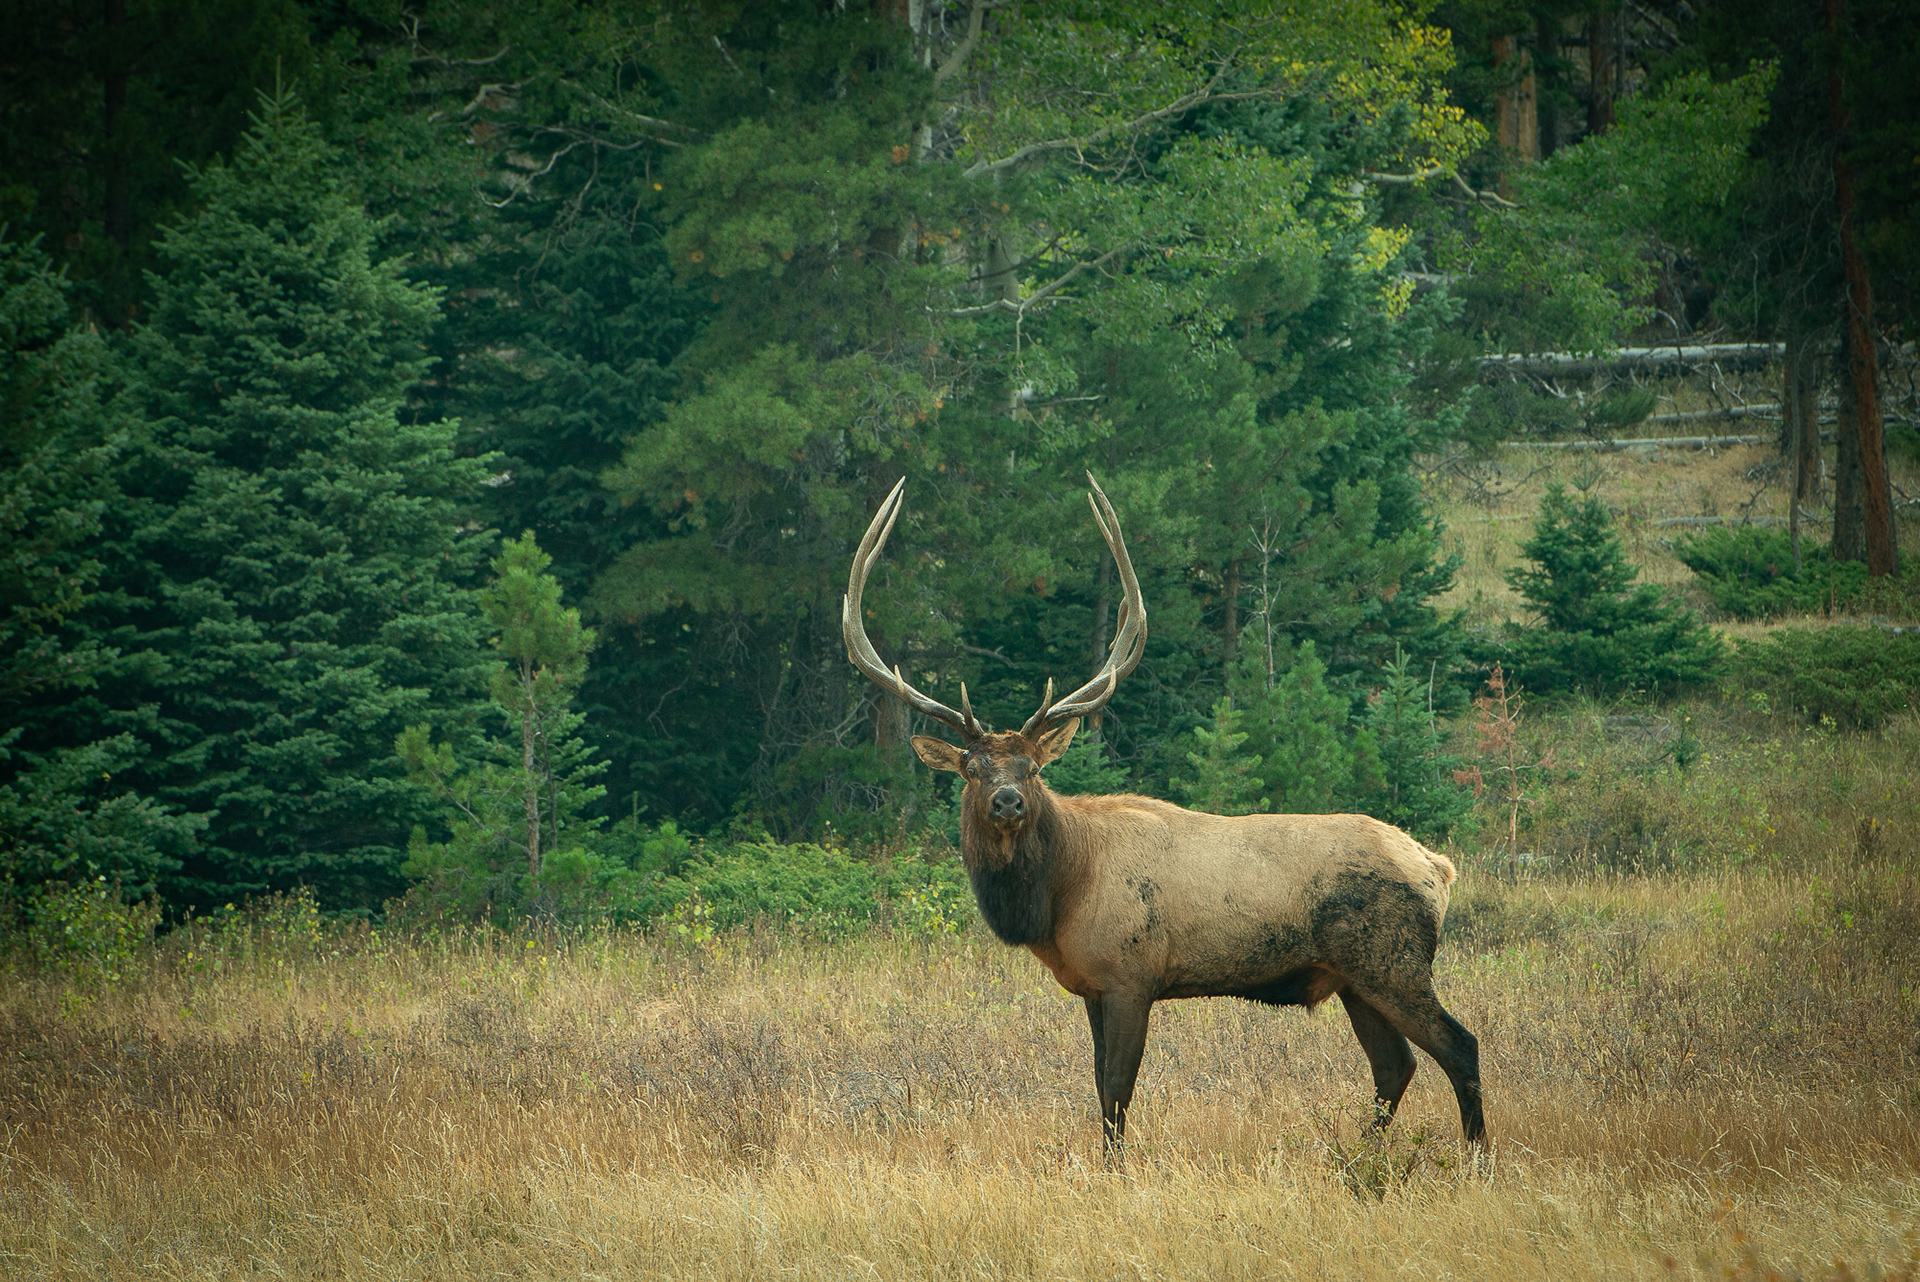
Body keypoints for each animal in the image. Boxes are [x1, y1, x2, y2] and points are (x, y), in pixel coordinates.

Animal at [844, 475, 1486, 1153]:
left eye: (1033, 768)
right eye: (972, 768)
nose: (1008, 800)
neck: (1059, 894)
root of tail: (1438, 868)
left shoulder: (1131, 976)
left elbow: (1118, 1088)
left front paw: (1116, 1164)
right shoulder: (1092, 987)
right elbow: (1099, 1084)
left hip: (1393, 961)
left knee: (1459, 1047)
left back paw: (1474, 1156)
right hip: (1353, 978)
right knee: (1395, 1065)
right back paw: (1358, 1154)